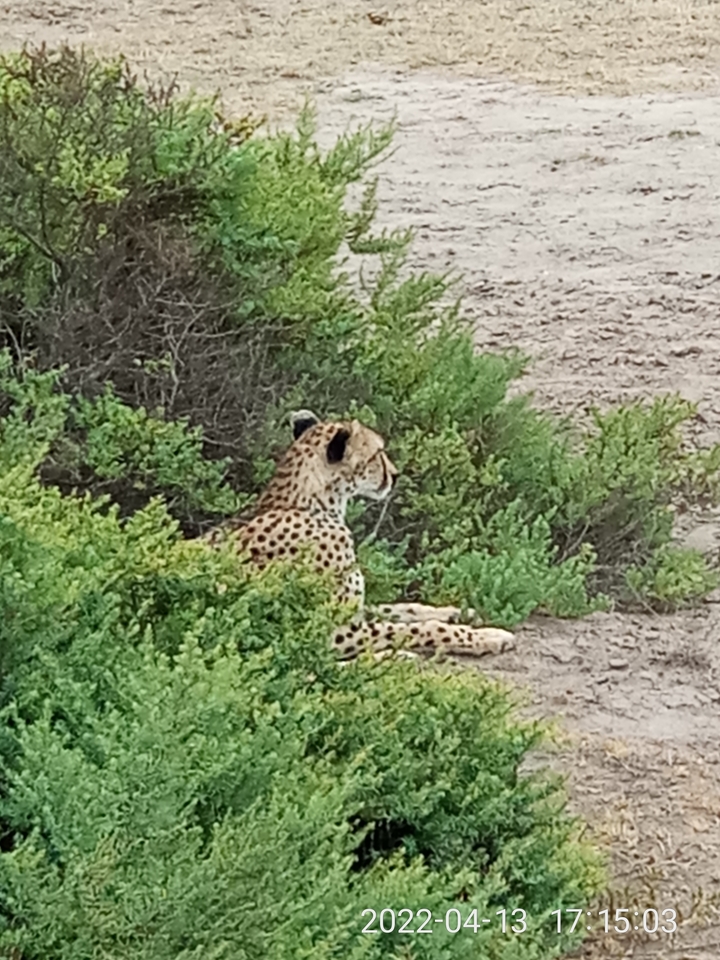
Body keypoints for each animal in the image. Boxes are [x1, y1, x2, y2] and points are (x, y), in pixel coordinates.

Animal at [209, 409, 515, 660]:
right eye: (377, 454)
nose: (396, 474)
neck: (311, 503)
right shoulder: (336, 631)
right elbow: (417, 629)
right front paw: (486, 636)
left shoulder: (356, 611)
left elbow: (405, 609)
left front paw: (459, 613)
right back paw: (398, 657)